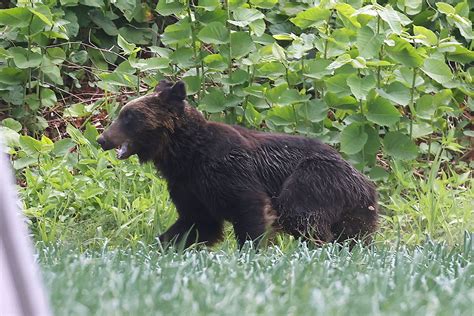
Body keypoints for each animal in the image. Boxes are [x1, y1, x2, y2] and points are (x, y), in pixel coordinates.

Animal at [97, 80, 378, 248]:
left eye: (129, 116)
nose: (102, 138)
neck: (184, 154)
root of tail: (365, 180)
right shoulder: (189, 186)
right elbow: (196, 223)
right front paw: (162, 244)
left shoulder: (228, 170)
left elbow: (250, 208)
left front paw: (250, 251)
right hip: (356, 210)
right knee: (355, 235)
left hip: (314, 179)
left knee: (301, 215)